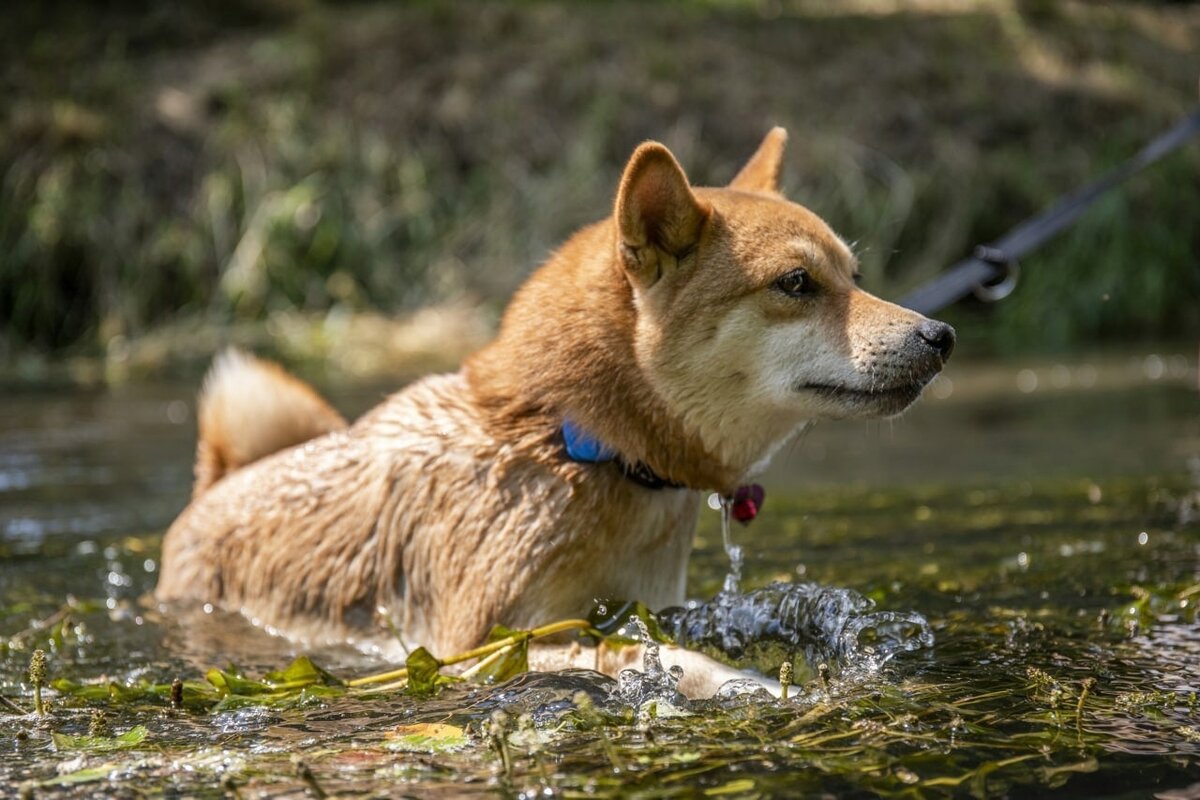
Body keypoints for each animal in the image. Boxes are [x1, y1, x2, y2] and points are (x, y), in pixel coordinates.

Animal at [154, 128, 950, 695]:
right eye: (796, 283)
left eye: (856, 276)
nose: (940, 335)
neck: (579, 445)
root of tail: (221, 480)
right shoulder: (476, 647)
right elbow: (631, 653)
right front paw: (739, 682)